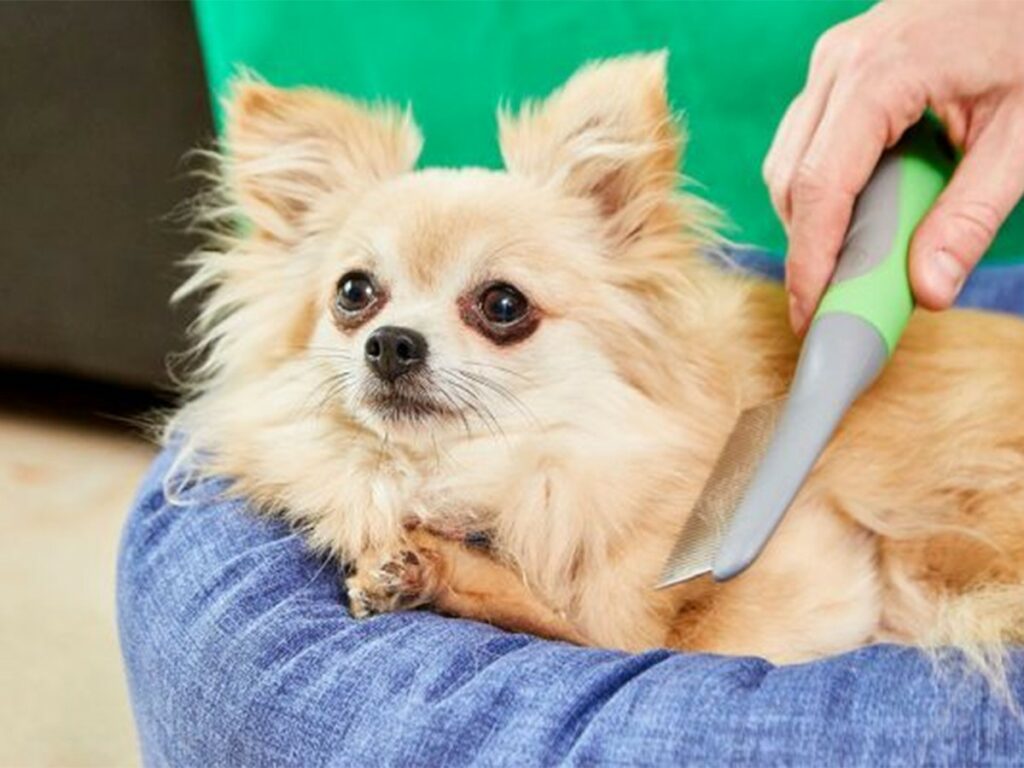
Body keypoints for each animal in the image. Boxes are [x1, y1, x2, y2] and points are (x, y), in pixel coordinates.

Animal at [167, 52, 1024, 667]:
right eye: (354, 293)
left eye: (503, 305)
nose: (391, 343)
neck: (511, 474)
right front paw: (425, 569)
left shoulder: (812, 577)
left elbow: (635, 639)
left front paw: (456, 576)